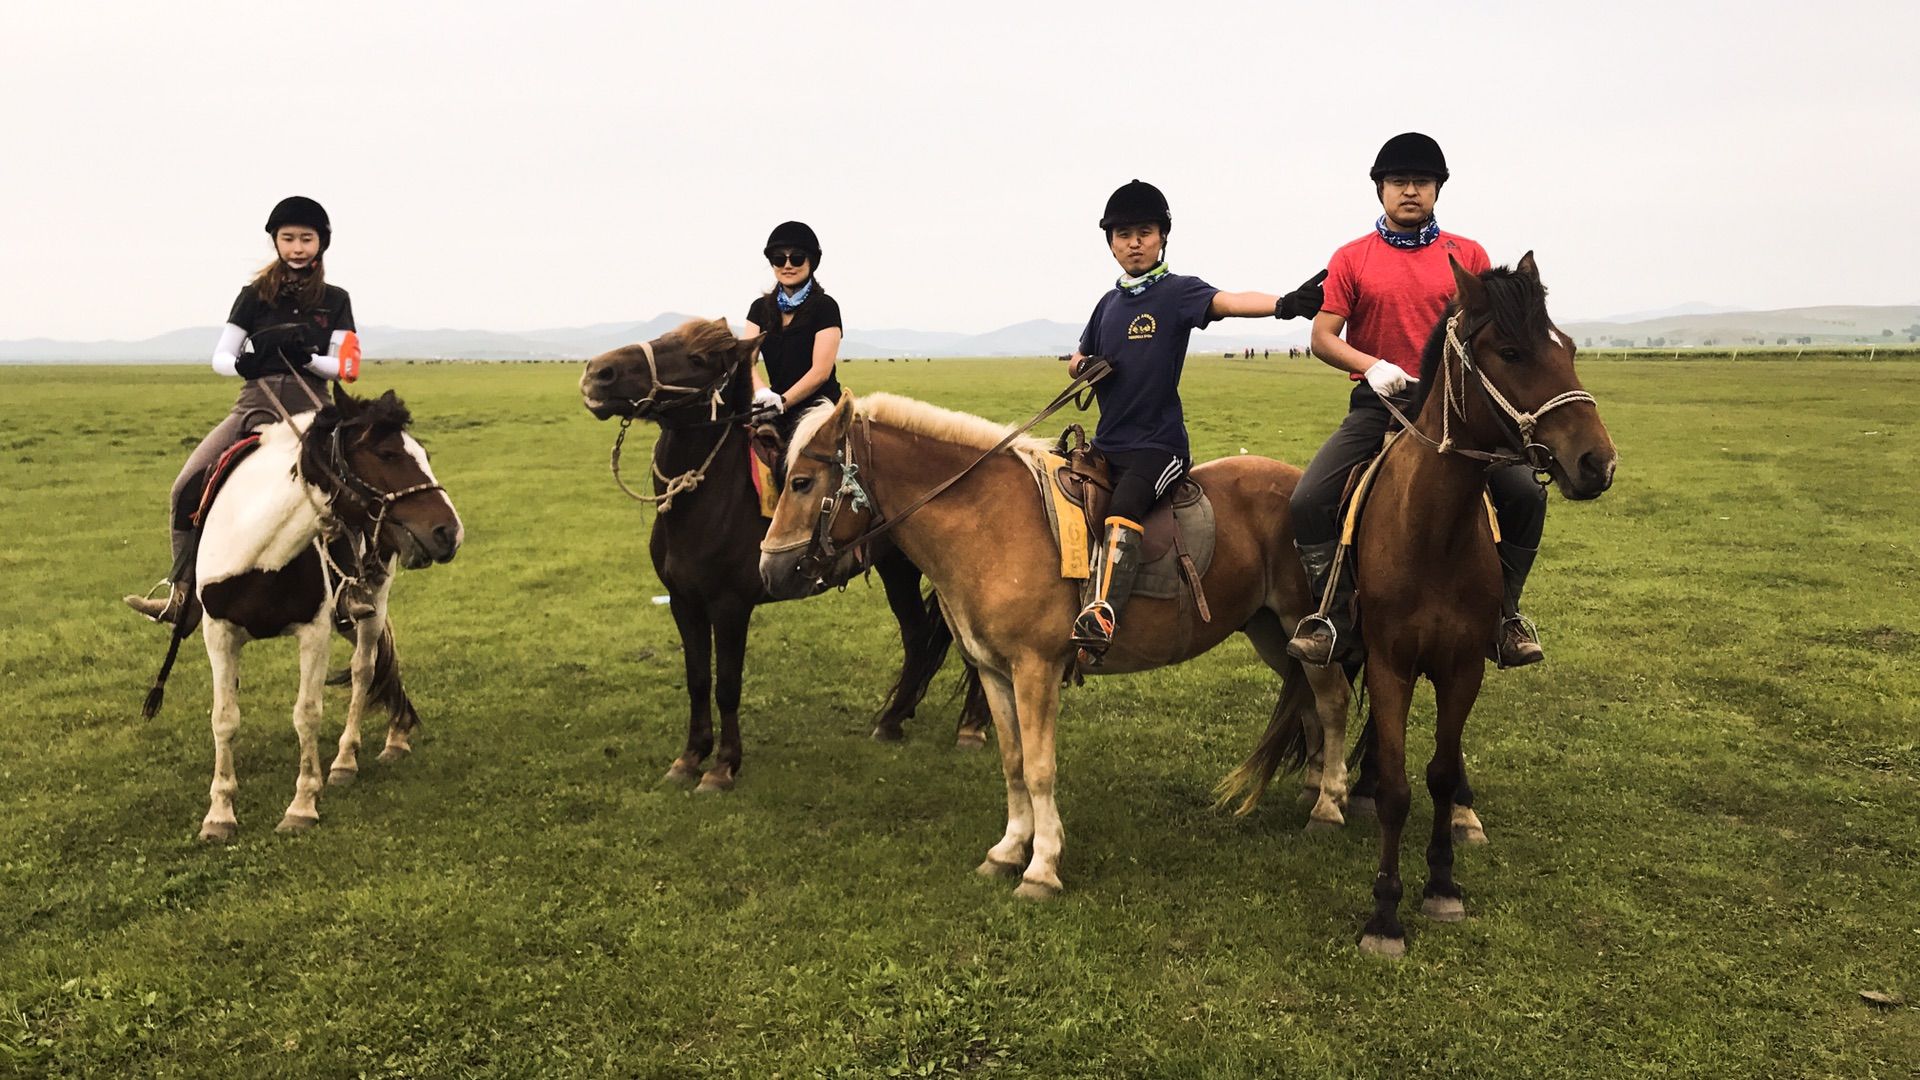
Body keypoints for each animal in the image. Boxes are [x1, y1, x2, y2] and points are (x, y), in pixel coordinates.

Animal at [140, 386, 464, 841]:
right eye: (386, 453)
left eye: (423, 453)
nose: (449, 533)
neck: (258, 548)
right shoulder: (219, 632)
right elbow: (224, 718)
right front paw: (219, 814)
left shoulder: (315, 632)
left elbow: (307, 714)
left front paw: (302, 805)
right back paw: (397, 732)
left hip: (372, 602)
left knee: (364, 667)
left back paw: (350, 758)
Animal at [576, 319, 983, 791]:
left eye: (698, 358)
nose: (599, 373)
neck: (708, 499)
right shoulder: (684, 602)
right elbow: (697, 680)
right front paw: (690, 757)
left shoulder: (730, 606)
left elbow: (727, 684)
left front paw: (722, 766)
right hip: (895, 569)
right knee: (917, 635)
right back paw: (893, 720)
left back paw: (972, 726)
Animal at [752, 390, 1351, 895]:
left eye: (801, 482)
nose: (770, 571)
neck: (986, 521)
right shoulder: (994, 672)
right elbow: (1014, 762)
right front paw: (1008, 850)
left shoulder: (1035, 669)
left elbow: (1041, 768)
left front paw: (1041, 866)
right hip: (1271, 632)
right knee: (1309, 703)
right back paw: (1315, 786)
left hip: (1300, 621)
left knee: (1333, 700)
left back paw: (1328, 806)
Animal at [1221, 251, 1612, 949]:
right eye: (1511, 352)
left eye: (1567, 346)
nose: (1597, 463)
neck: (1433, 529)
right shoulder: (1391, 662)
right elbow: (1402, 786)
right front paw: (1384, 913)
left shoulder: (1462, 667)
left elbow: (1439, 773)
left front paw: (1443, 886)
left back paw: (1457, 813)